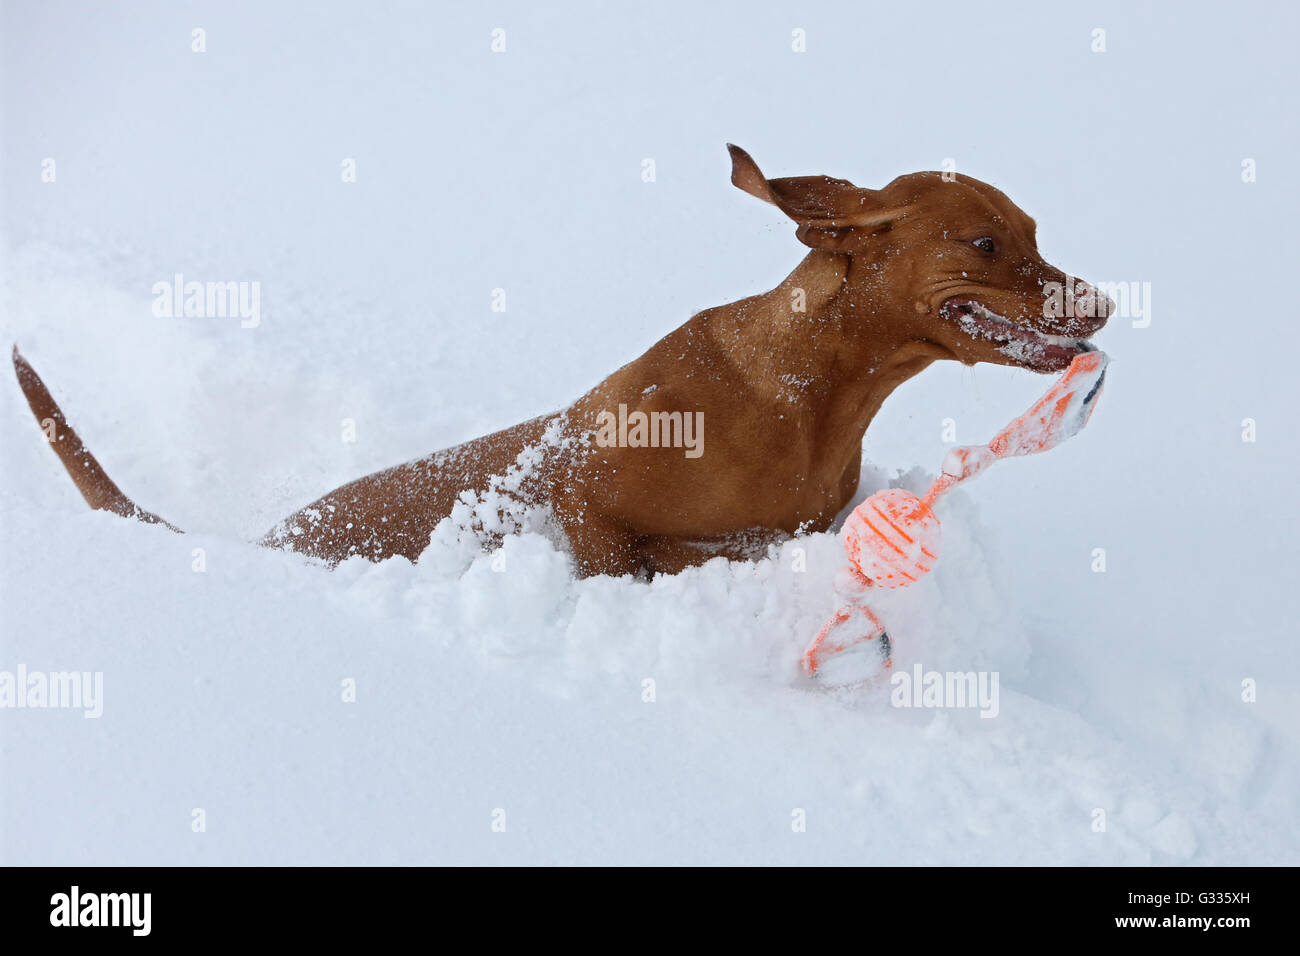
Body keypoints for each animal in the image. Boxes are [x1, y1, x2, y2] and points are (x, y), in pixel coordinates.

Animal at [10, 141, 1112, 574]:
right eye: (984, 243)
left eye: (1035, 233)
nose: (1100, 303)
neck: (805, 397)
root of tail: (257, 543)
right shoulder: (586, 499)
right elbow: (626, 551)